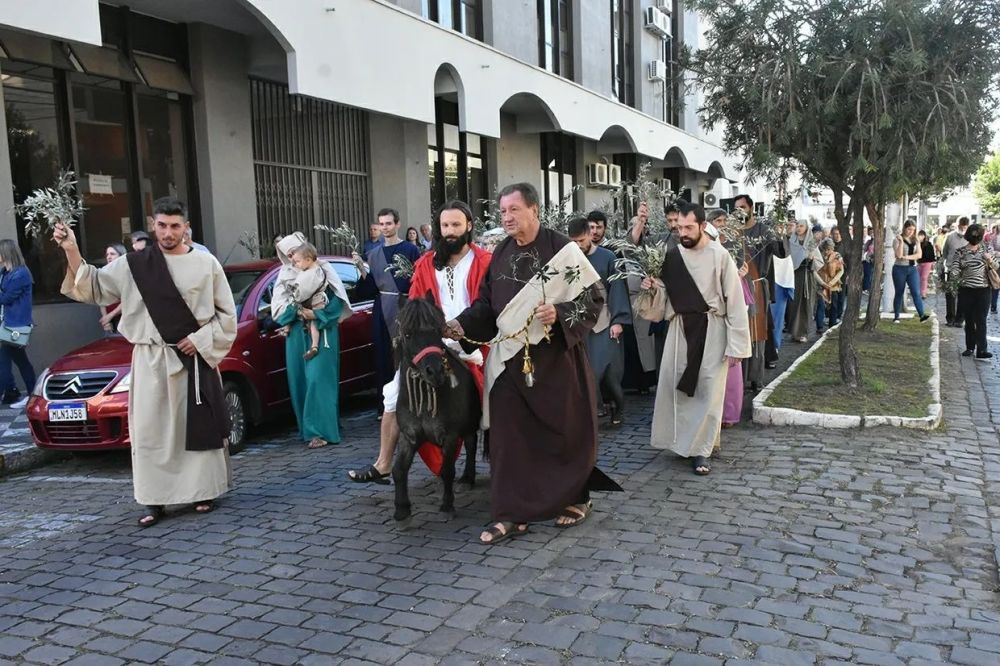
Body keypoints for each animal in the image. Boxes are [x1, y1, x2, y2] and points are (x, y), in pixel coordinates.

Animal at [392, 292, 482, 520]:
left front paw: (447, 504)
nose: (435, 371)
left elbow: (447, 470)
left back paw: (467, 479)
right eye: (407, 334)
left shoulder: (449, 436)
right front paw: (402, 508)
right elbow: (399, 469)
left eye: (436, 330)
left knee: (470, 444)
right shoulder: (408, 435)